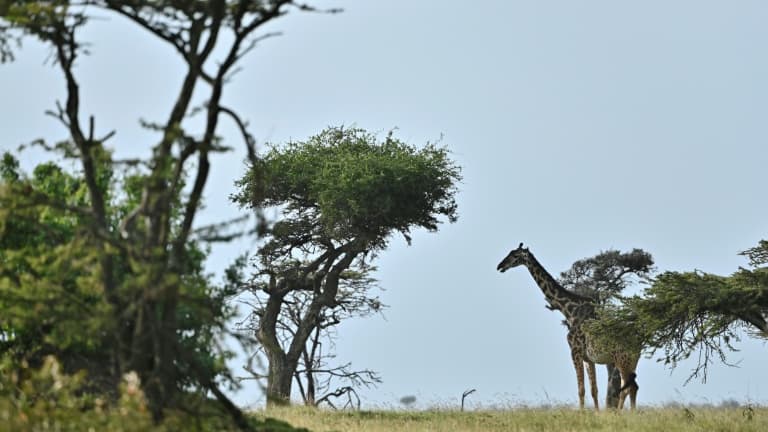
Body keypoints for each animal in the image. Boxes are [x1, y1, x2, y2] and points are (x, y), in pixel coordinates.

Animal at [496, 243, 640, 408]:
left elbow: (581, 390)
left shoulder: (575, 351)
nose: (500, 266)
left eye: (515, 255)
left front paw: (582, 412)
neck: (569, 310)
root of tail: (639, 342)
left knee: (627, 388)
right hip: (630, 362)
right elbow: (593, 390)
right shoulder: (588, 358)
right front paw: (596, 412)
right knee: (632, 387)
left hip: (623, 361)